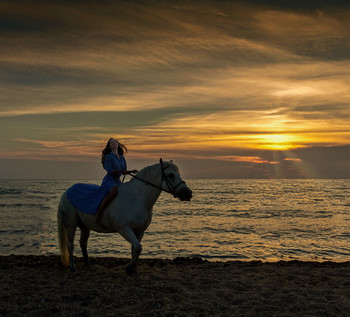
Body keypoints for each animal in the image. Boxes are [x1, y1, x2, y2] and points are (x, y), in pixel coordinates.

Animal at [58, 159, 193, 272]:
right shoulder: (124, 228)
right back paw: (73, 267)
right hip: (71, 223)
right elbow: (138, 247)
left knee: (83, 243)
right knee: (70, 245)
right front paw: (129, 268)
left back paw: (88, 263)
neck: (138, 198)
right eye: (170, 175)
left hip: (85, 226)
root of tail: (67, 192)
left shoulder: (139, 230)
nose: (188, 193)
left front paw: (133, 270)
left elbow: (135, 249)